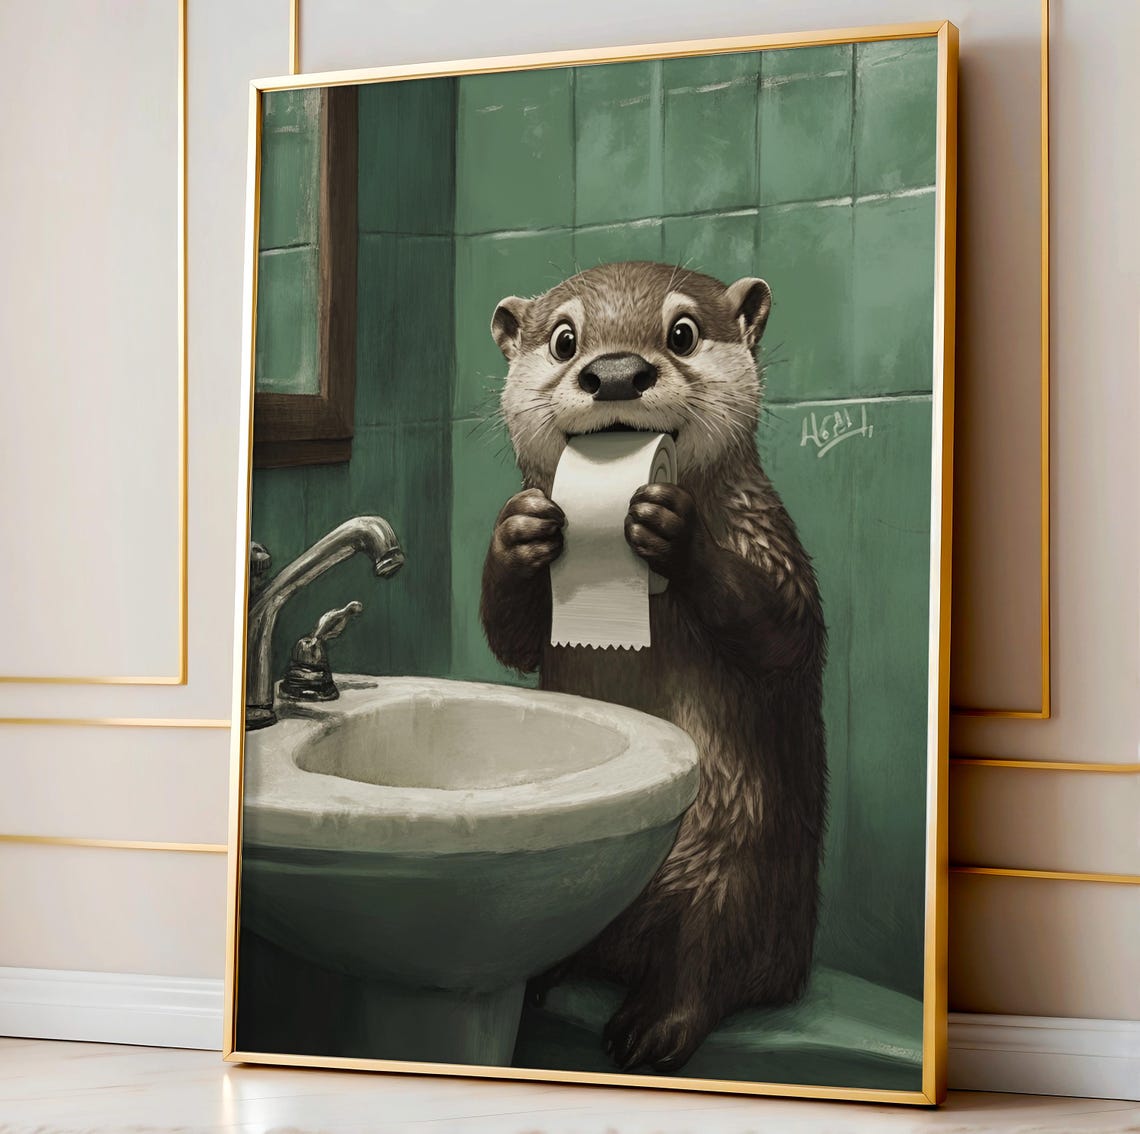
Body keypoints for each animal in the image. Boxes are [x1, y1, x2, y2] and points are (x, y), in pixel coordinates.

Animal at [480, 261, 827, 1074]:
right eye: (565, 339)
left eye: (683, 333)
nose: (614, 373)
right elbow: (514, 640)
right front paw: (517, 531)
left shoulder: (771, 541)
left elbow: (787, 633)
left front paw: (673, 529)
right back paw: (542, 976)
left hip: (741, 864)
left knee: (712, 957)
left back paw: (652, 1027)